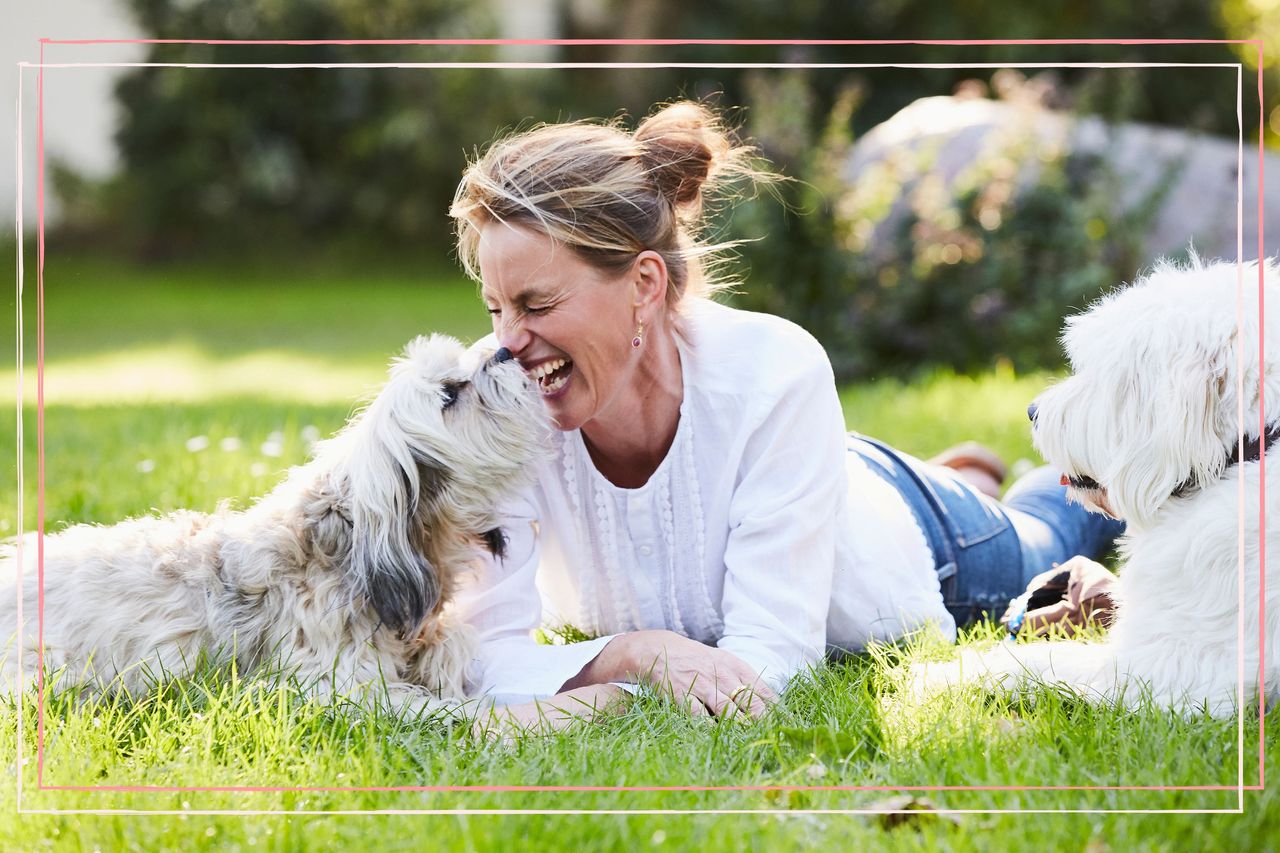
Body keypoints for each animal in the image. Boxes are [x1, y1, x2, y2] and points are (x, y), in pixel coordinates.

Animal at [916, 256, 1274, 712]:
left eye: (1099, 374)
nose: (1031, 412)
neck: (1250, 452)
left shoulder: (1173, 675)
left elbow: (1039, 658)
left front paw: (938, 673)